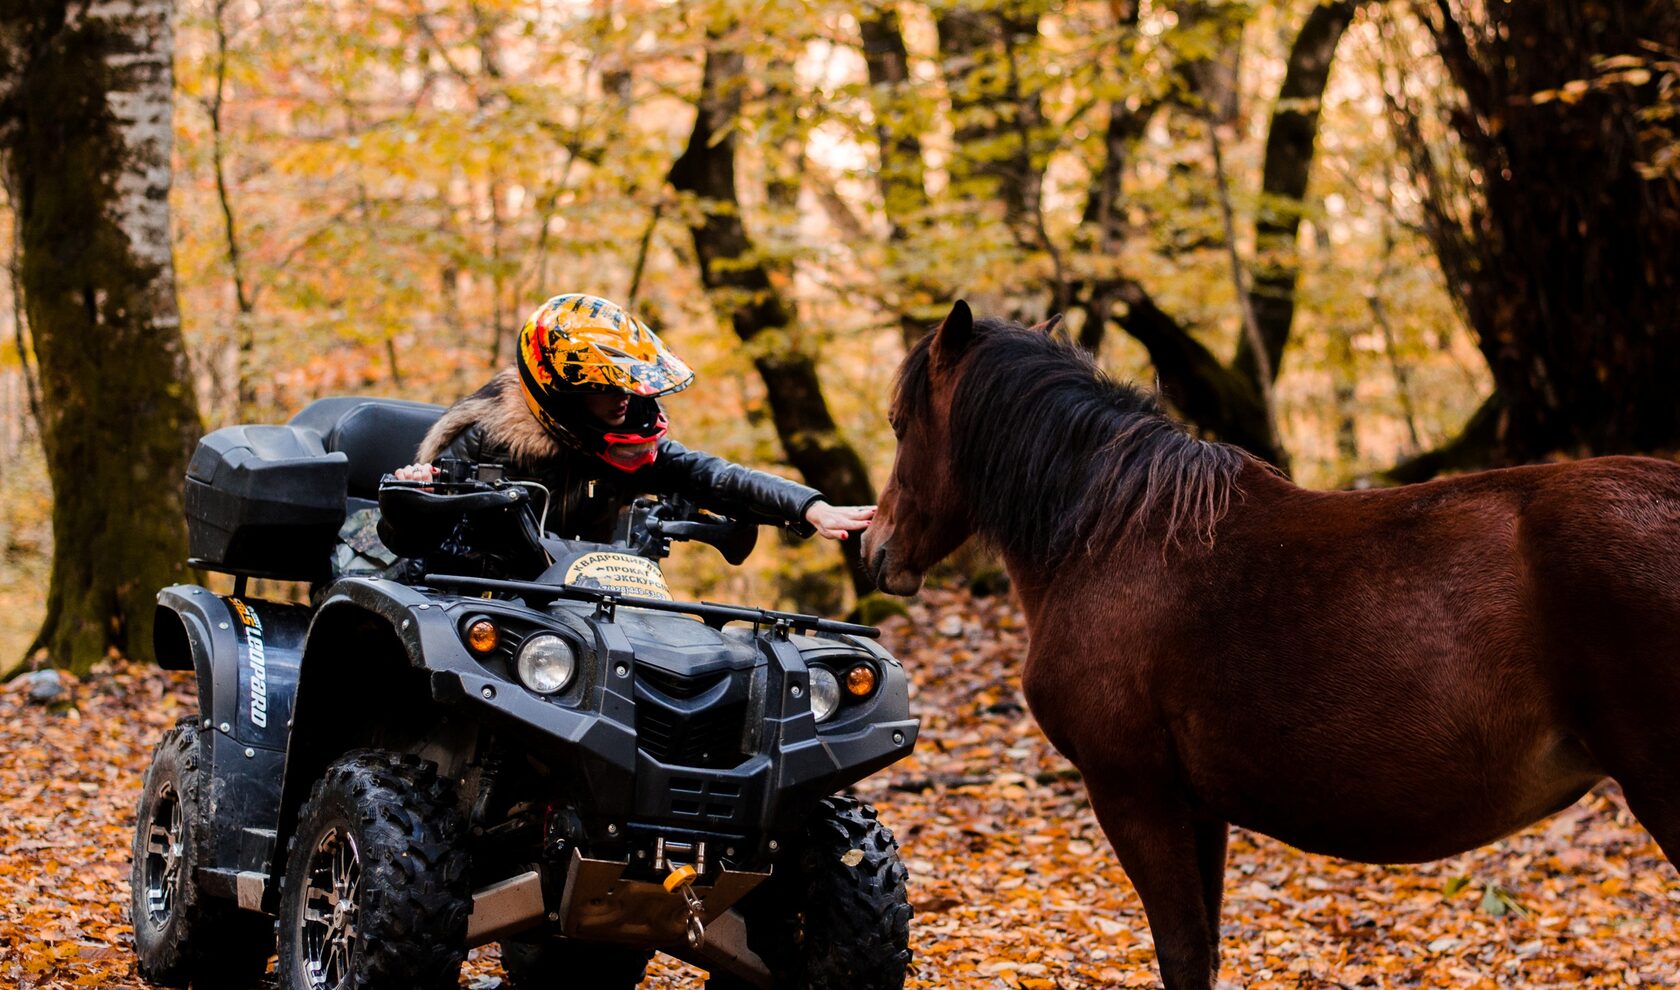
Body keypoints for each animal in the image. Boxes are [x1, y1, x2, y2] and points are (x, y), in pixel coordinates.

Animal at [860, 297, 1680, 981]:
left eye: (900, 422)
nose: (875, 549)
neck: (1110, 536)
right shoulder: (1198, 806)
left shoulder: (1133, 793)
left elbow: (1182, 952)